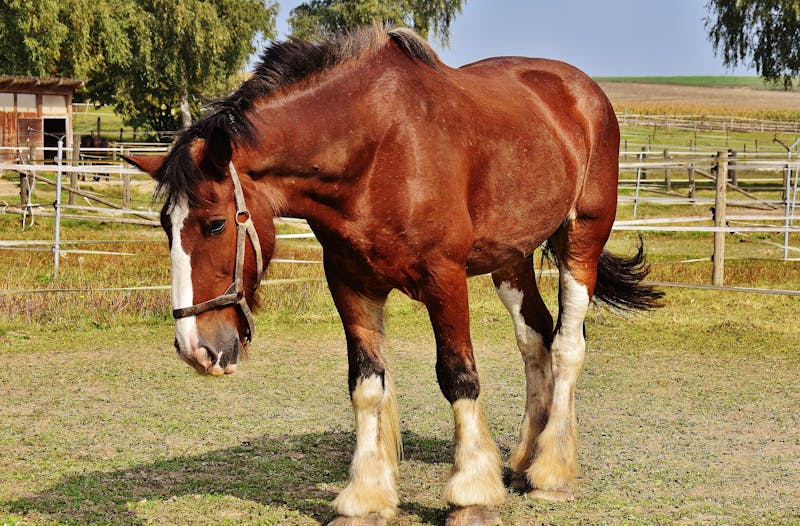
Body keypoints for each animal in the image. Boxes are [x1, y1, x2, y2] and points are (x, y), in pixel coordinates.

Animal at [125, 26, 662, 526]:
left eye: (215, 223)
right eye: (166, 226)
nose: (195, 348)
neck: (376, 150)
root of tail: (583, 92)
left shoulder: (444, 279)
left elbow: (459, 377)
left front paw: (471, 494)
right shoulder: (351, 284)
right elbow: (366, 385)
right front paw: (365, 497)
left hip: (581, 241)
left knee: (567, 345)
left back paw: (551, 471)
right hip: (511, 259)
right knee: (535, 339)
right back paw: (523, 460)